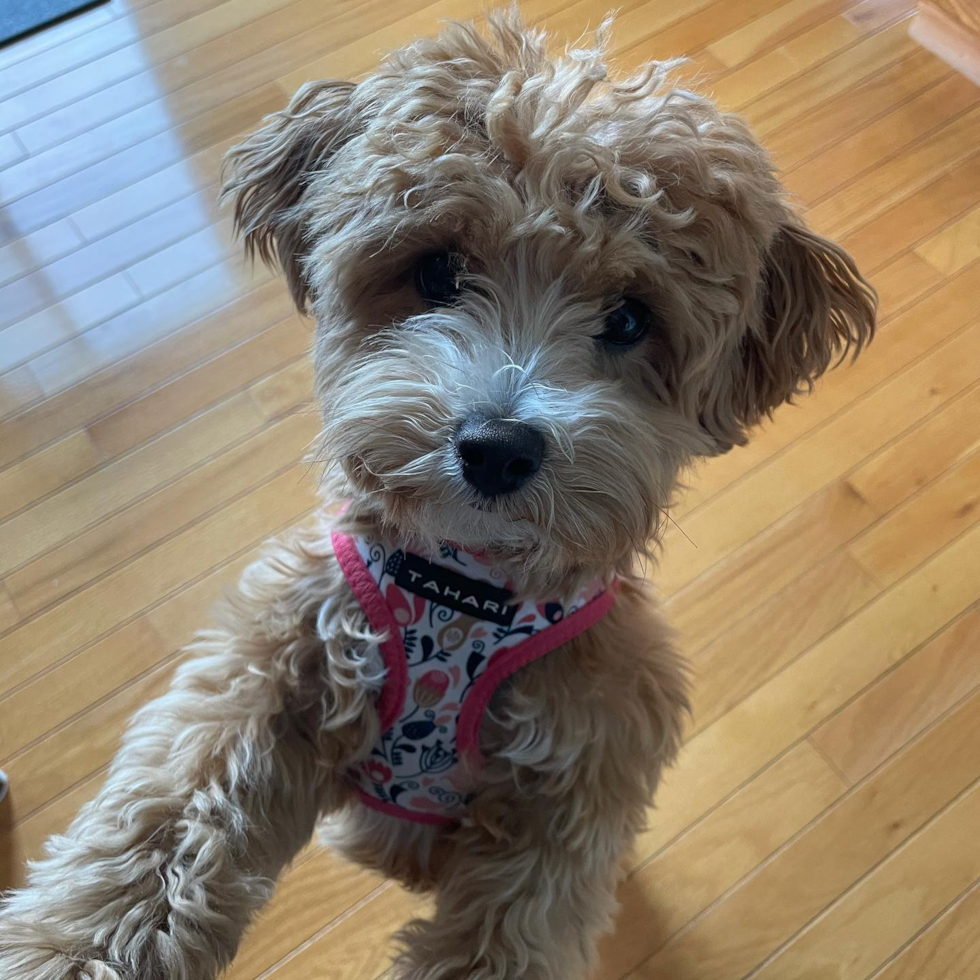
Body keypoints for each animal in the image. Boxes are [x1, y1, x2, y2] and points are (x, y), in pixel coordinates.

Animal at [0, 9, 876, 980]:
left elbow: (509, 930)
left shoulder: (576, 777)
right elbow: (160, 836)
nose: (496, 448)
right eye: (436, 273)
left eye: (628, 319)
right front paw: (70, 948)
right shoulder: (269, 669)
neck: (464, 590)